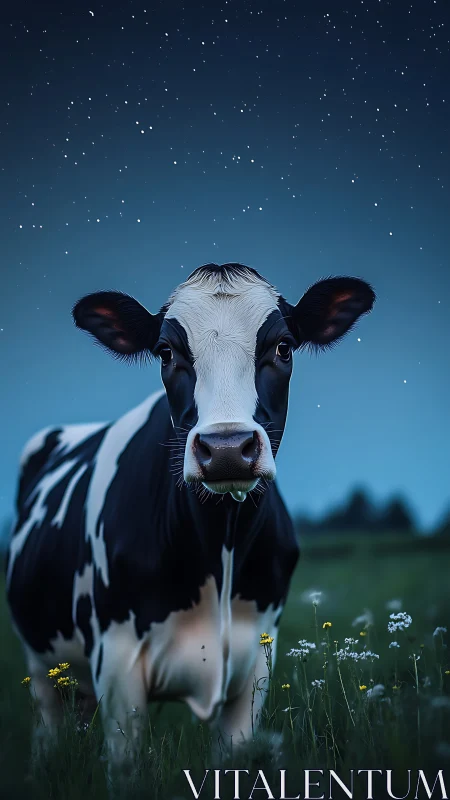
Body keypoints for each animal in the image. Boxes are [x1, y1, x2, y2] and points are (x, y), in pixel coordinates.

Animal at [6, 262, 375, 771]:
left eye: (283, 347)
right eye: (166, 352)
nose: (226, 448)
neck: (219, 547)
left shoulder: (255, 664)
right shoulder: (117, 666)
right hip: (42, 668)